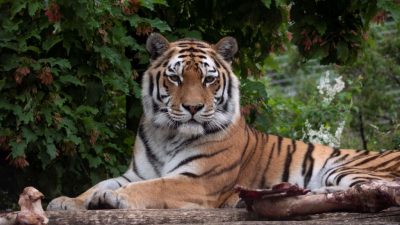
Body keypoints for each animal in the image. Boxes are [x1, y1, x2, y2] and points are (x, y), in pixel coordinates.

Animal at [48, 33, 400, 211]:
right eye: (175, 77)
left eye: (208, 79)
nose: (192, 107)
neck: (167, 135)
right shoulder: (134, 172)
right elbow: (100, 183)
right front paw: (66, 201)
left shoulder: (198, 181)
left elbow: (153, 187)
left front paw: (112, 199)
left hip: (346, 169)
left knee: (380, 192)